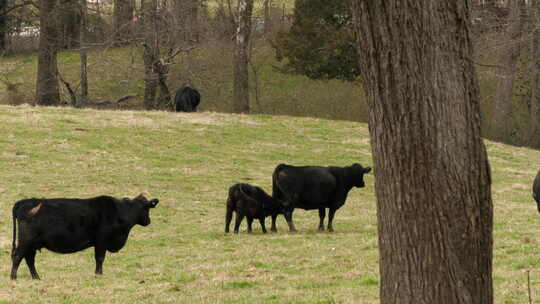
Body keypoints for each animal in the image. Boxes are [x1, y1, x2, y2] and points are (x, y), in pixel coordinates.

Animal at [10, 194, 158, 280]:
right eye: (147, 208)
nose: (148, 221)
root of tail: (23, 202)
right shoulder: (101, 241)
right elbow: (100, 258)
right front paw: (99, 274)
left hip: (33, 244)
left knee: (29, 259)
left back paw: (36, 277)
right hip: (26, 241)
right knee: (17, 257)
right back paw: (13, 278)